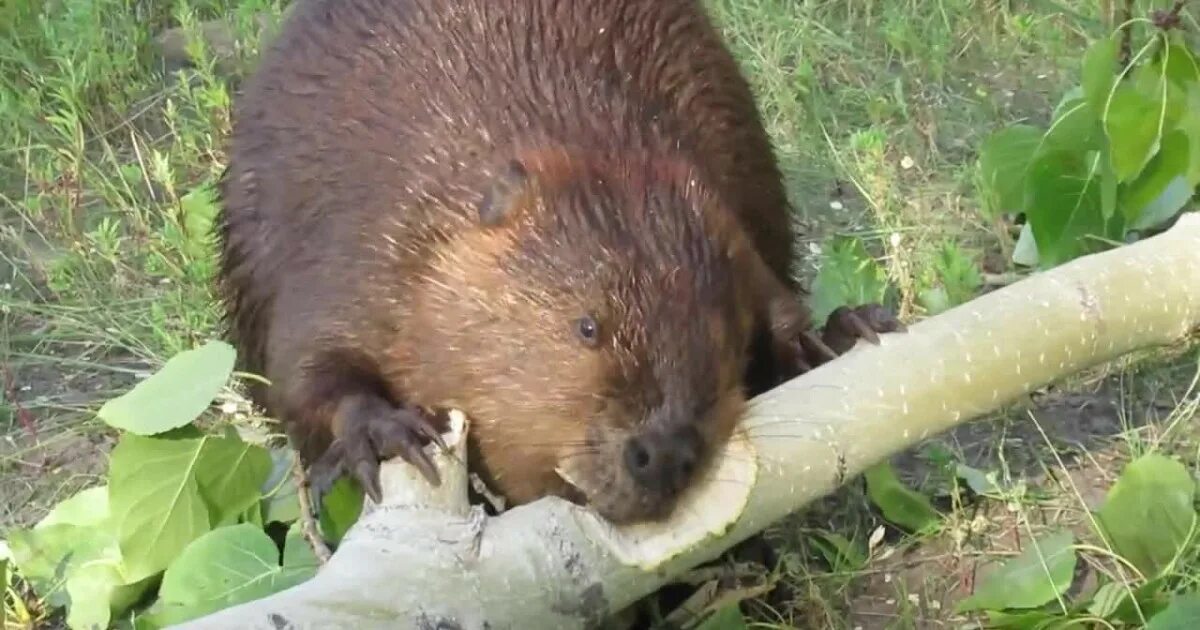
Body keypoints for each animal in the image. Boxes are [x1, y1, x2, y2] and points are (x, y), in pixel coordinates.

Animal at [213, 0, 902, 523]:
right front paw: (389, 431)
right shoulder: (364, 241)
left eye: (720, 337)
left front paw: (835, 336)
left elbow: (773, 295)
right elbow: (301, 368)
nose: (663, 452)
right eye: (587, 327)